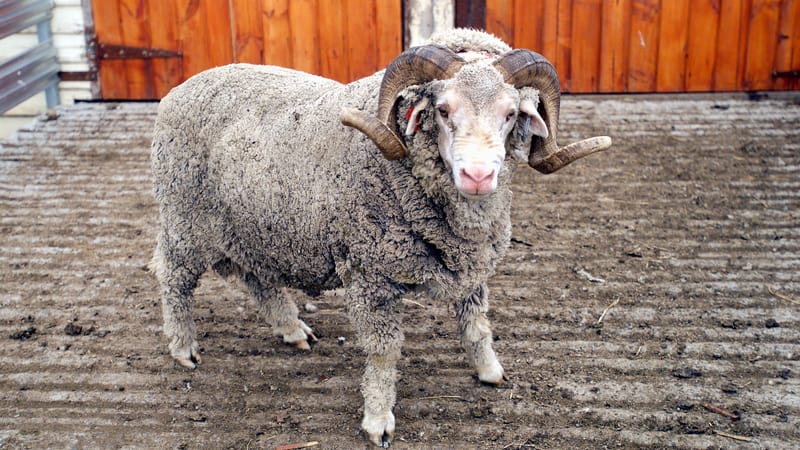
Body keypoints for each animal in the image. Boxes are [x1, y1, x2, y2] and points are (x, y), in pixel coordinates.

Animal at [150, 29, 608, 446]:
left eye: (511, 114)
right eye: (443, 110)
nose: (477, 176)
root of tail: (181, 88)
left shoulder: (470, 264)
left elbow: (476, 324)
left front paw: (489, 371)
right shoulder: (370, 274)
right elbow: (384, 351)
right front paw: (378, 419)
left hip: (252, 226)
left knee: (257, 278)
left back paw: (292, 328)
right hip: (184, 220)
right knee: (173, 279)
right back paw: (183, 347)